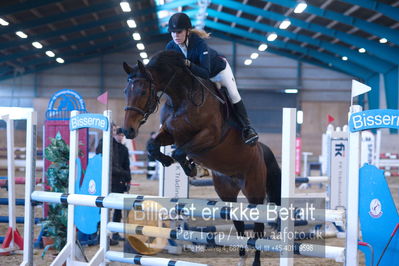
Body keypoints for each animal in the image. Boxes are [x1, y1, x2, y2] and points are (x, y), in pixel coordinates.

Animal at [123, 50, 282, 266]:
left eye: (142, 92)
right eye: (125, 92)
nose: (127, 131)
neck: (181, 98)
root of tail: (261, 151)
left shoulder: (210, 135)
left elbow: (179, 151)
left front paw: (190, 167)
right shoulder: (170, 133)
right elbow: (152, 147)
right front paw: (167, 161)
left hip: (254, 189)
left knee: (258, 228)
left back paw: (255, 261)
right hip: (226, 192)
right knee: (239, 224)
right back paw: (242, 258)